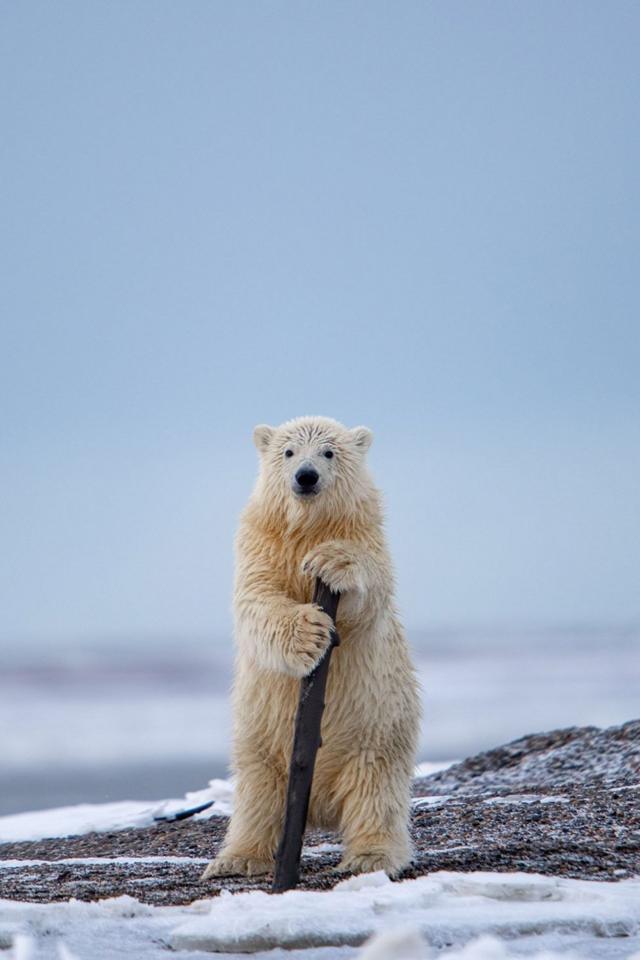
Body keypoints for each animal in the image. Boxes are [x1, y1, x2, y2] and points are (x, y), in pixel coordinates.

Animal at [201, 416, 420, 880]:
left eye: (328, 452)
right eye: (288, 452)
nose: (306, 476)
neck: (308, 528)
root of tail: (320, 808)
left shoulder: (367, 538)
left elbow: (367, 594)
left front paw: (330, 562)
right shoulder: (261, 545)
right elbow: (257, 600)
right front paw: (309, 634)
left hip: (380, 728)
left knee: (376, 792)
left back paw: (371, 856)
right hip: (260, 738)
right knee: (257, 795)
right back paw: (238, 858)